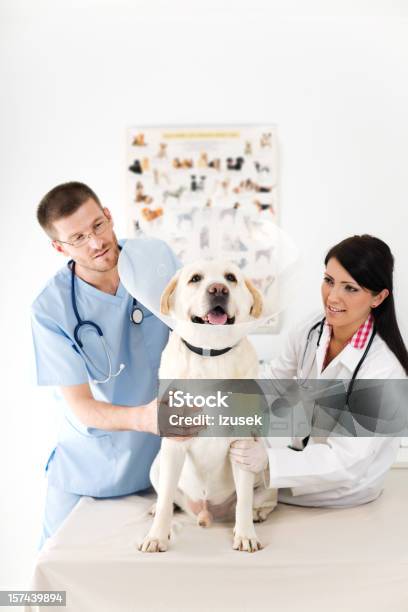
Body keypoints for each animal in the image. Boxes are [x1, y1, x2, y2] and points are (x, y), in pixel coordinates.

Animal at [139, 260, 278, 556]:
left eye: (231, 278)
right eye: (195, 279)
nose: (218, 290)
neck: (211, 356)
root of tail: (206, 513)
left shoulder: (242, 444)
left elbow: (244, 499)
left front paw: (246, 534)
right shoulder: (175, 439)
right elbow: (166, 496)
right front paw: (157, 536)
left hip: (265, 470)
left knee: (261, 497)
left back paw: (257, 513)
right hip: (157, 465)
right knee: (167, 496)